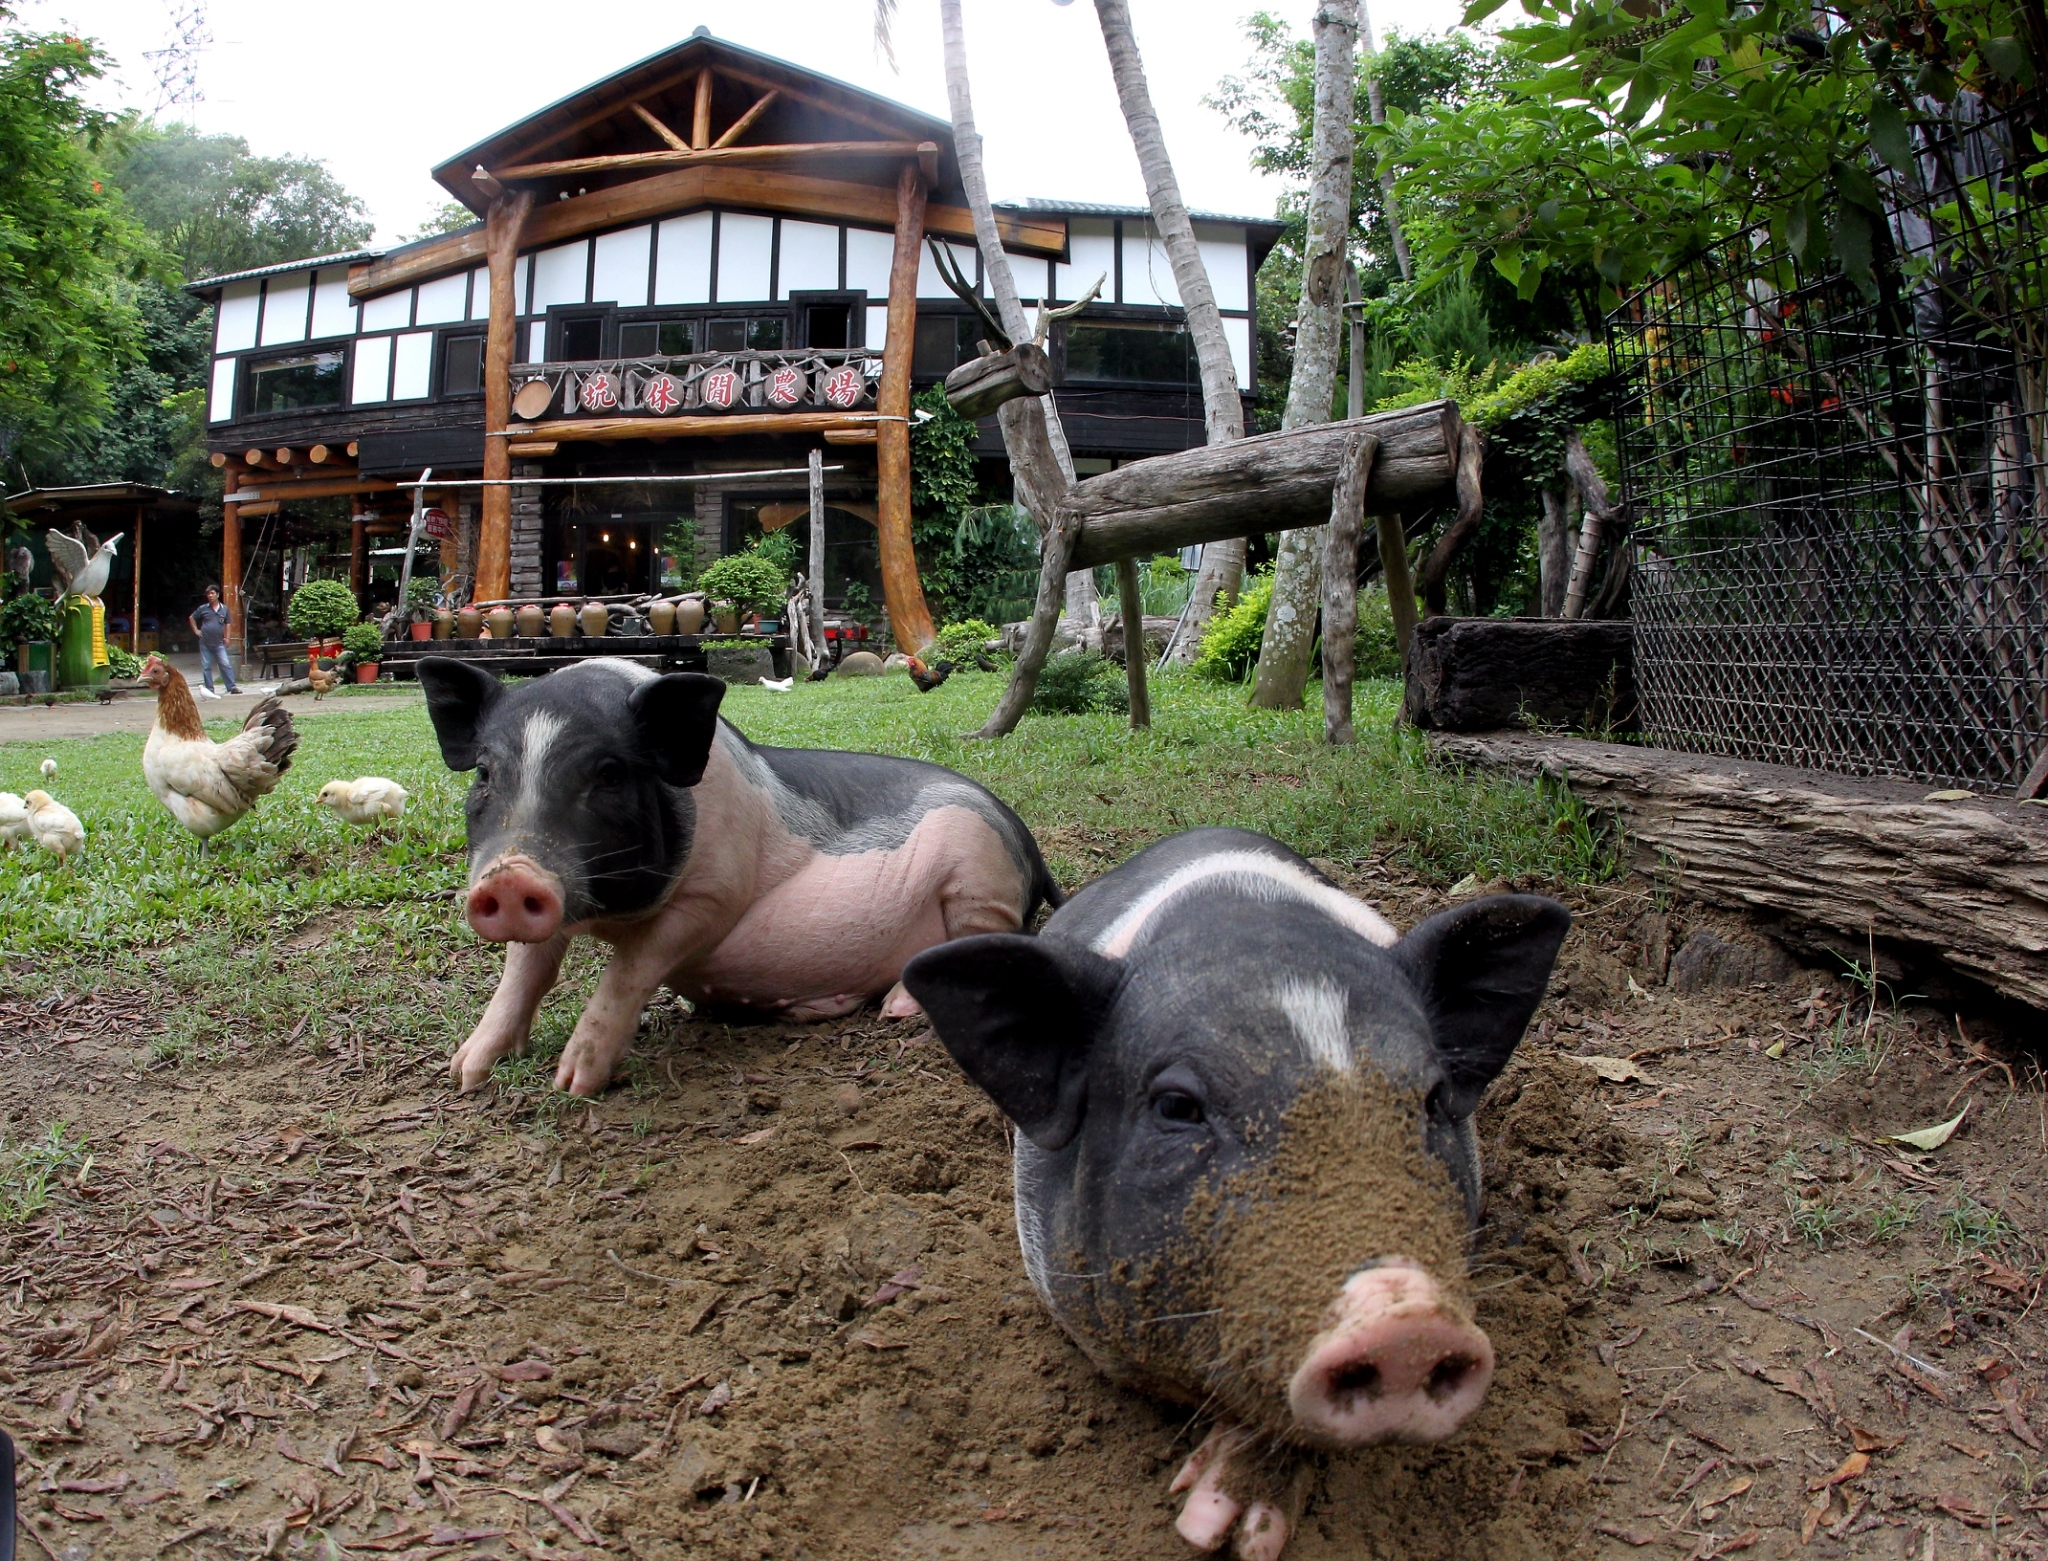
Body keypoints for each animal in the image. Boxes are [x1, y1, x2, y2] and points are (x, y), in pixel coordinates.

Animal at [415, 655, 1056, 1098]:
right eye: (484, 773)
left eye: (609, 774)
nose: (510, 878)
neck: (613, 914)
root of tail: (1024, 838)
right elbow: (525, 972)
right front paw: (464, 1073)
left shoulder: (712, 894)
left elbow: (629, 970)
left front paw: (574, 1085)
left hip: (978, 871)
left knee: (992, 943)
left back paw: (897, 1009)